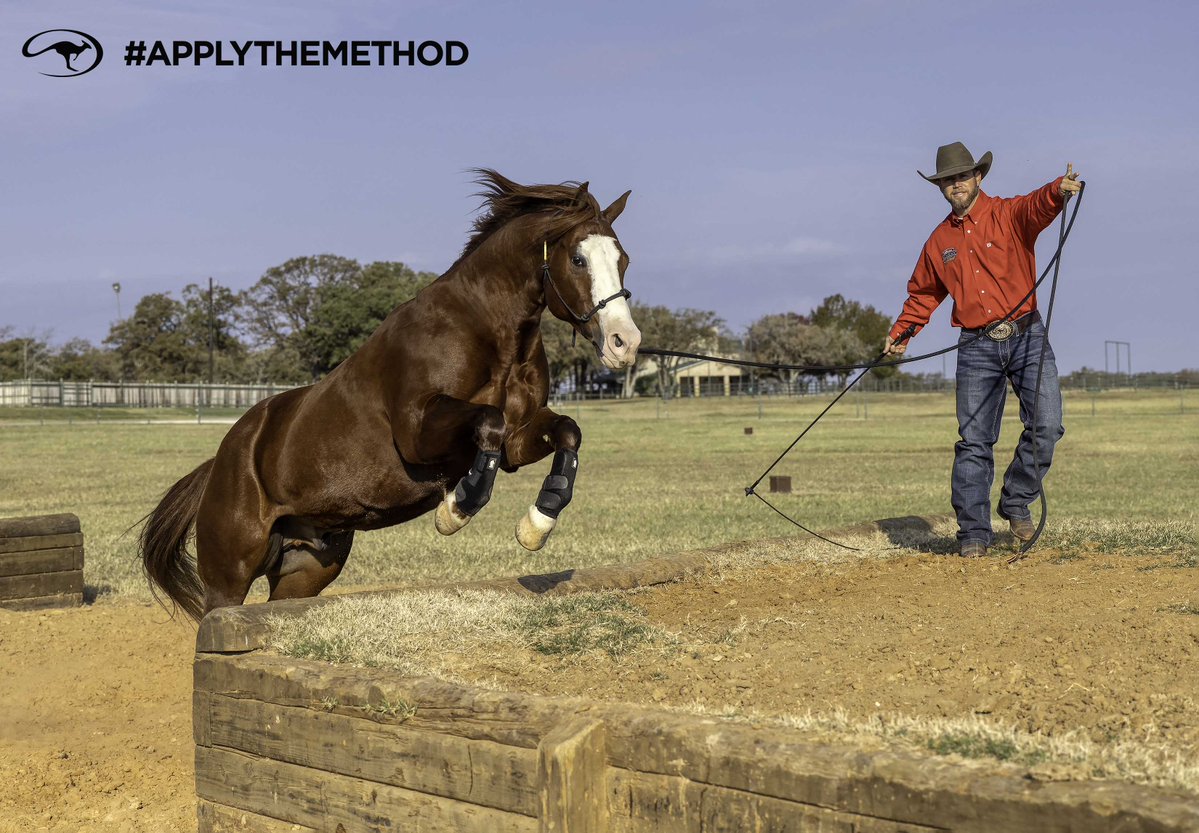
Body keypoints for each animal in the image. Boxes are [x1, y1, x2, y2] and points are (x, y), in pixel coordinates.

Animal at [140, 169, 641, 621]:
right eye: (578, 260)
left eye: (623, 260)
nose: (625, 343)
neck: (489, 333)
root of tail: (220, 461)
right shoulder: (418, 433)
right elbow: (487, 422)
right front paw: (456, 509)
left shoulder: (518, 440)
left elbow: (565, 432)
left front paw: (537, 524)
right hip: (229, 572)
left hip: (306, 568)